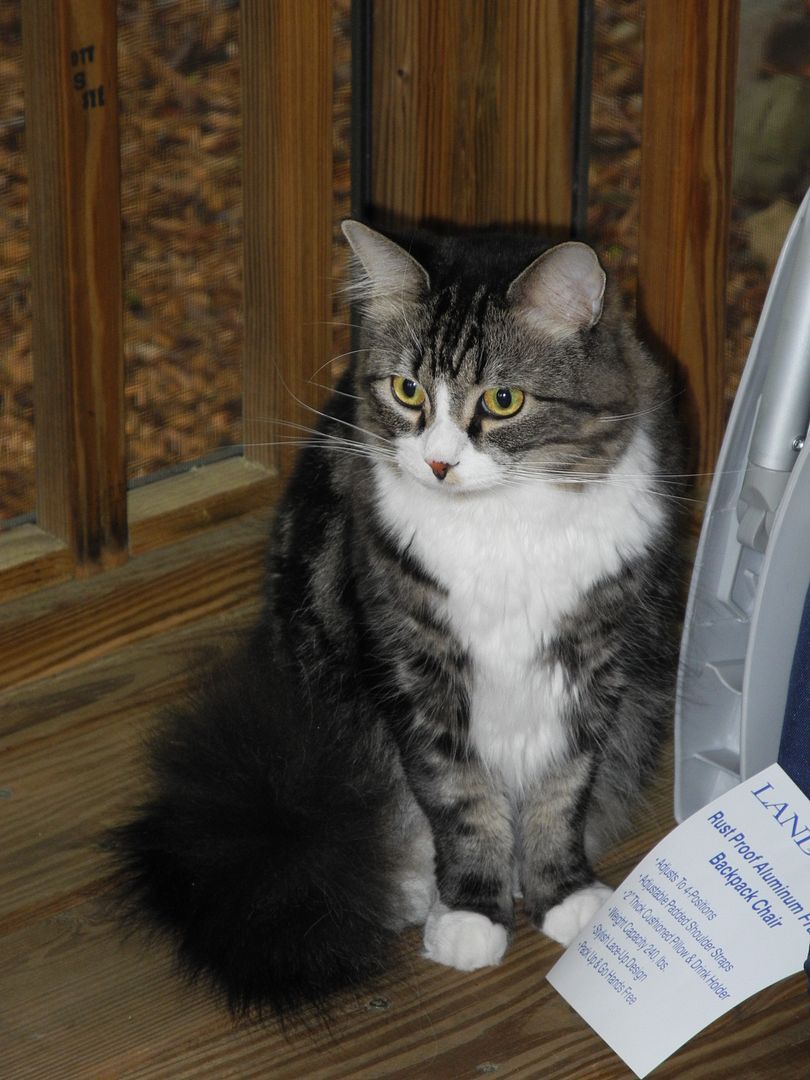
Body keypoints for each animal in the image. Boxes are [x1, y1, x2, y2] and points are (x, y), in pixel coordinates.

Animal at [111, 221, 686, 1019]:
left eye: (503, 400)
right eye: (408, 390)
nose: (440, 463)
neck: (503, 528)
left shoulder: (592, 664)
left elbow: (560, 794)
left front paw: (563, 894)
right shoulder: (416, 669)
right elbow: (459, 799)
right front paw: (471, 911)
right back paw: (414, 892)